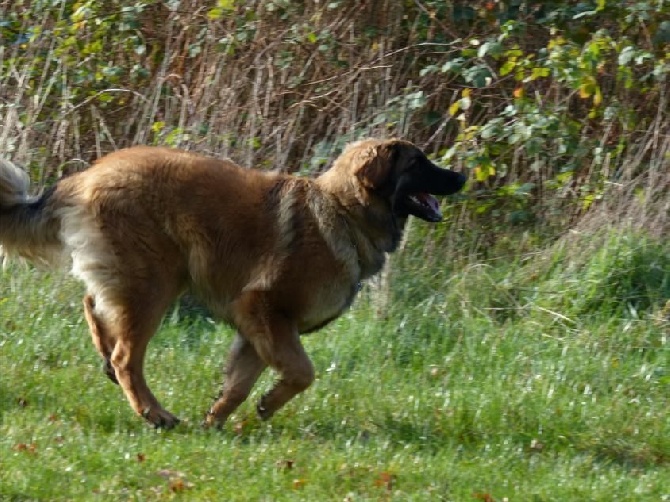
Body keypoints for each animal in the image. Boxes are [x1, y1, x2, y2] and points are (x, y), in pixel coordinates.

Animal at [1, 139, 468, 430]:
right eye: (417, 163)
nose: (462, 176)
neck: (342, 211)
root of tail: (85, 177)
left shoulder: (259, 328)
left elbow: (240, 383)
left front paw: (216, 421)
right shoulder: (264, 309)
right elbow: (303, 372)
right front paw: (266, 405)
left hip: (141, 278)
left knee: (93, 307)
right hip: (155, 285)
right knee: (125, 356)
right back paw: (154, 413)